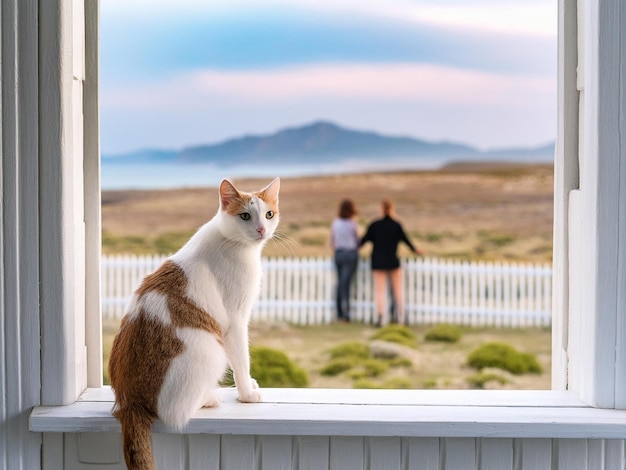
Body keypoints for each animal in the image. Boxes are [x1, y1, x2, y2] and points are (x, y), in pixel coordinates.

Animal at [108, 177, 280, 470]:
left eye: (269, 214)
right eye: (245, 216)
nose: (261, 229)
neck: (233, 243)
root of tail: (128, 401)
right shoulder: (235, 320)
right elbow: (242, 361)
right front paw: (247, 393)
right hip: (211, 350)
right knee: (174, 412)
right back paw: (209, 397)